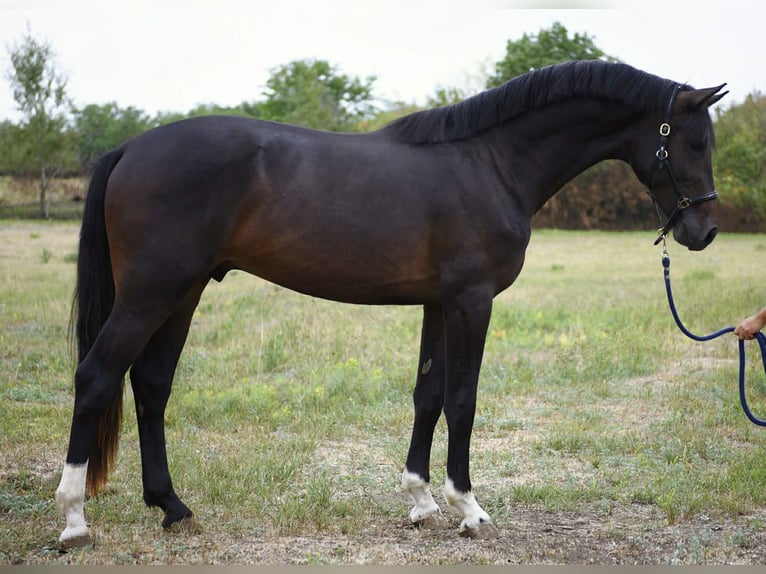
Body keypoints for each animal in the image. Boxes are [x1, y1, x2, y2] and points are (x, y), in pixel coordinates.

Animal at [55, 60, 726, 546]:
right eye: (693, 143)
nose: (706, 231)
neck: (490, 163)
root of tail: (130, 149)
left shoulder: (438, 304)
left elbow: (427, 394)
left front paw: (422, 502)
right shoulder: (471, 302)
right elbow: (462, 399)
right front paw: (468, 508)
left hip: (182, 294)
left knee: (150, 384)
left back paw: (172, 506)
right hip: (151, 294)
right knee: (97, 376)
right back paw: (74, 520)